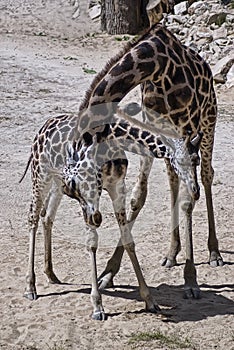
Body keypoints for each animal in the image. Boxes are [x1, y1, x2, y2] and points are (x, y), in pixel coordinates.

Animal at [21, 111, 200, 320]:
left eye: (197, 160)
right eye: (180, 161)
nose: (195, 190)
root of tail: (44, 127)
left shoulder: (116, 186)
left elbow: (128, 240)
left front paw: (150, 300)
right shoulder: (89, 195)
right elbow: (92, 243)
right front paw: (97, 306)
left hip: (57, 183)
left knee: (47, 217)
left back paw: (51, 274)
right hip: (40, 174)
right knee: (33, 217)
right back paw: (30, 287)